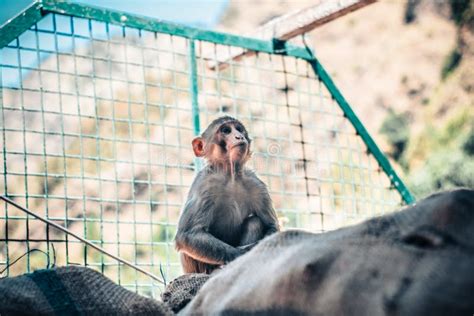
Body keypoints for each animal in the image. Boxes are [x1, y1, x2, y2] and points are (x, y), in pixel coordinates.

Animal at [175, 116, 280, 274]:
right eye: (226, 130)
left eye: (239, 129)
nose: (239, 136)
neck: (230, 176)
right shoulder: (204, 184)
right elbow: (188, 234)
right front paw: (241, 254)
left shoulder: (256, 184)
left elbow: (271, 226)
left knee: (254, 222)